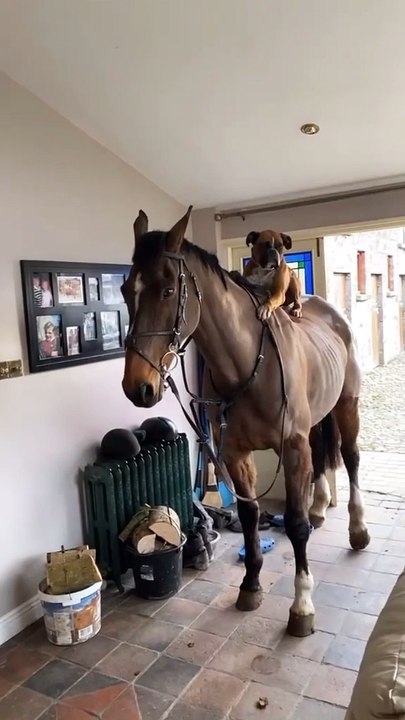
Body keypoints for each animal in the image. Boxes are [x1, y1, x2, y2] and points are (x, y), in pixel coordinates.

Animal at [121, 206, 370, 638]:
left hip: (346, 405)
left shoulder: (292, 447)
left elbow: (295, 525)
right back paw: (321, 507)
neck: (246, 363)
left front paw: (302, 606)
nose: (138, 387)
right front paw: (251, 585)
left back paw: (357, 529)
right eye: (123, 290)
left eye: (167, 291)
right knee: (323, 454)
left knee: (351, 458)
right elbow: (251, 514)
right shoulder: (235, 453)